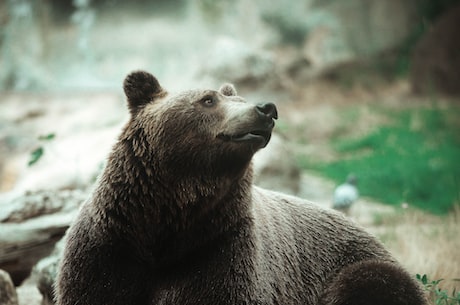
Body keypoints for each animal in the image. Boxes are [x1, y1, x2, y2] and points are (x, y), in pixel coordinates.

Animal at [56, 70, 428, 304]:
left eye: (237, 97)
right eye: (207, 99)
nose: (266, 108)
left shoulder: (220, 251)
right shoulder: (109, 250)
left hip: (355, 265)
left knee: (373, 282)